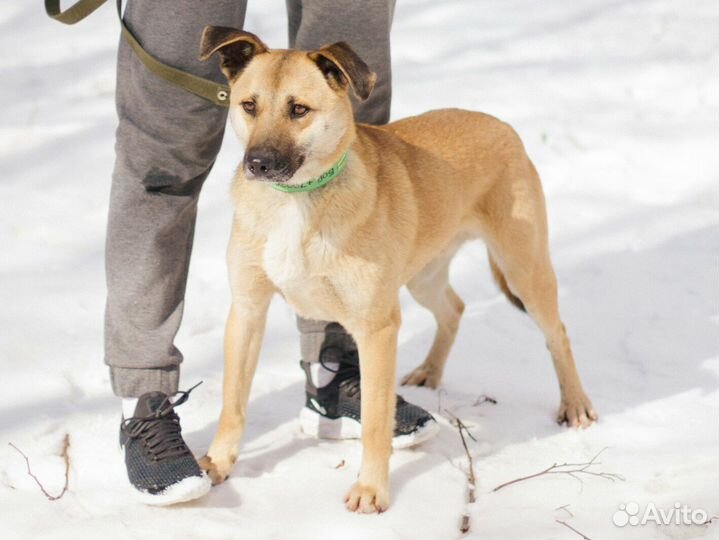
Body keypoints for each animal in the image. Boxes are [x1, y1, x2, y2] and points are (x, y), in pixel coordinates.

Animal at [197, 26, 596, 516]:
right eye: (248, 105)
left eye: (299, 110)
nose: (257, 164)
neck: (297, 200)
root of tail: (505, 128)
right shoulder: (248, 311)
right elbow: (232, 402)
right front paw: (218, 462)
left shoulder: (376, 328)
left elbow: (374, 421)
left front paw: (371, 490)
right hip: (422, 276)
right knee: (453, 309)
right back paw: (429, 371)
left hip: (524, 270)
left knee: (557, 333)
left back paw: (574, 404)